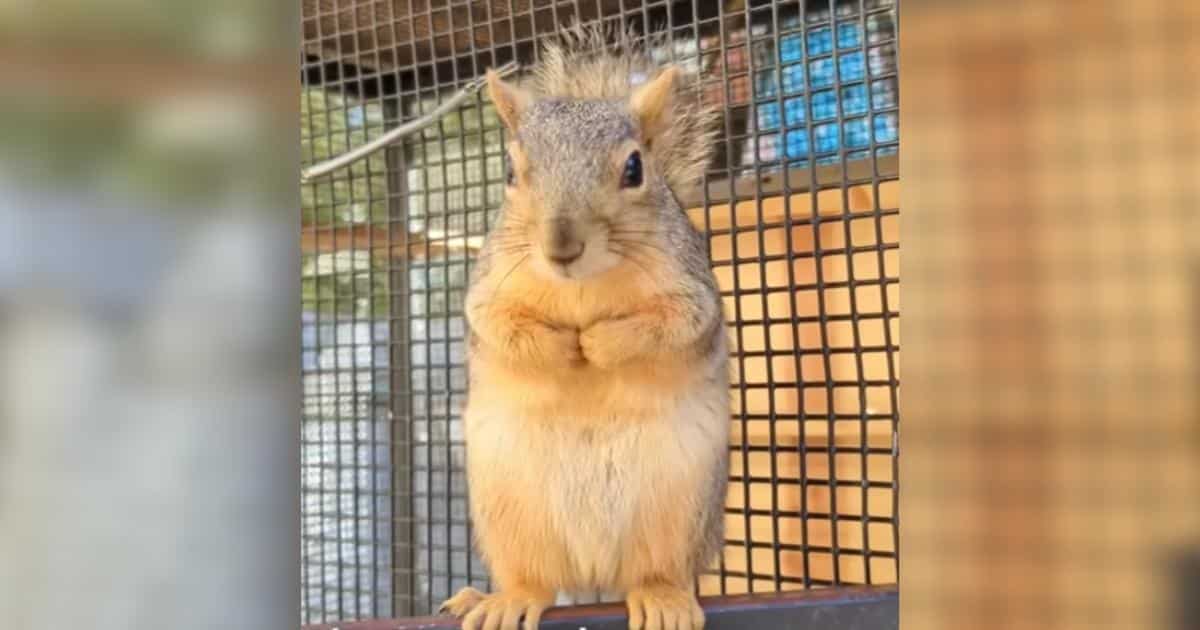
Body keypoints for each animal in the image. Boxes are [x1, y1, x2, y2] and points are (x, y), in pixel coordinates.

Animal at [439, 24, 730, 630]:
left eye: (635, 168)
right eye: (509, 172)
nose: (561, 246)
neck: (581, 286)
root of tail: (594, 573)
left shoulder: (693, 290)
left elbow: (677, 325)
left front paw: (596, 343)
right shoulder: (489, 289)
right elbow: (497, 325)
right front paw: (561, 347)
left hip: (680, 508)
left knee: (657, 569)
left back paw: (664, 599)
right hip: (508, 508)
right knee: (532, 576)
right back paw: (500, 599)